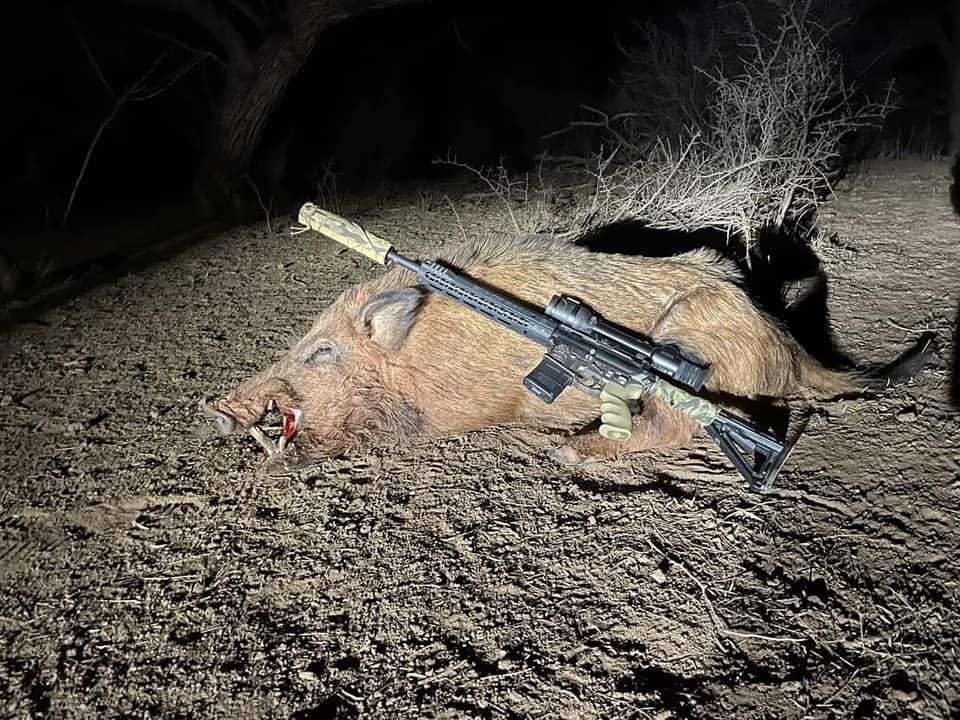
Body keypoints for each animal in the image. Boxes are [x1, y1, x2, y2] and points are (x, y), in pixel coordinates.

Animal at [202, 231, 935, 466]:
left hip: (695, 339)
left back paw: (568, 453)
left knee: (683, 426)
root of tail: (786, 344)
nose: (214, 407)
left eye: (322, 353)